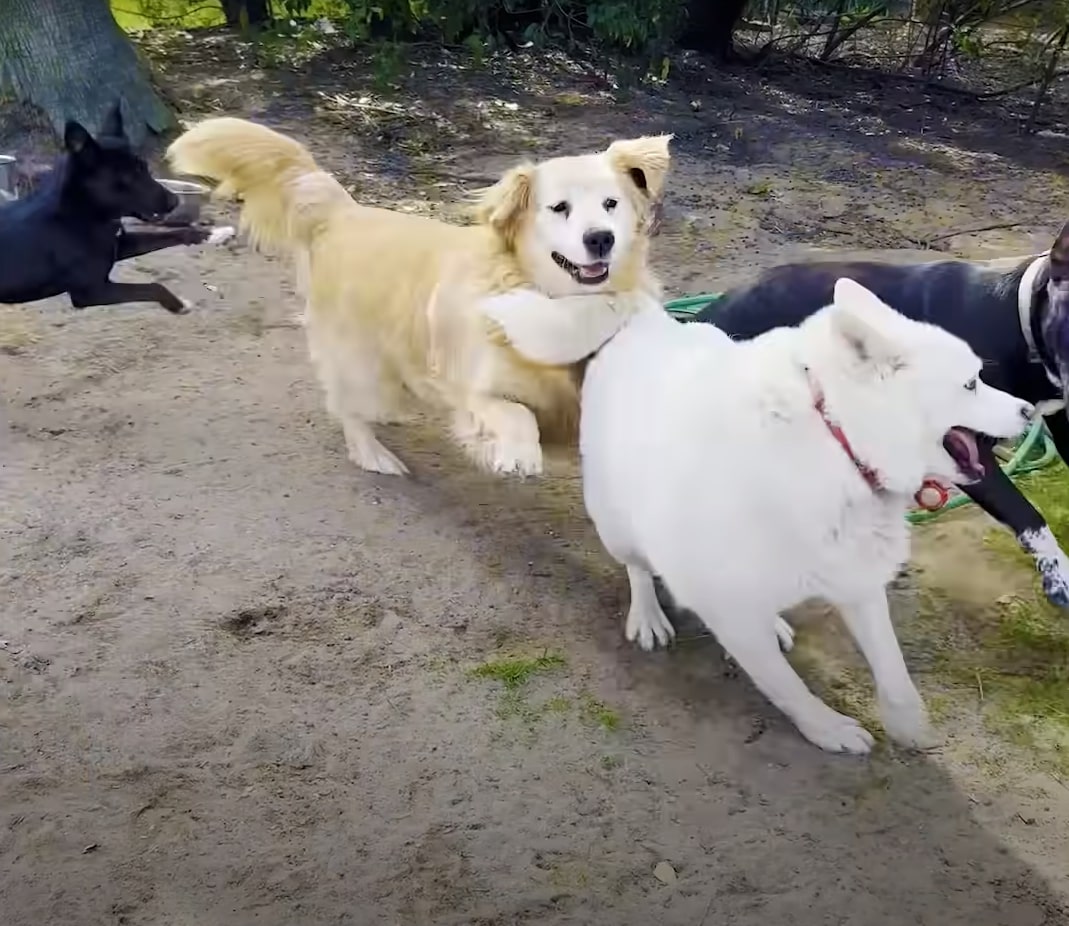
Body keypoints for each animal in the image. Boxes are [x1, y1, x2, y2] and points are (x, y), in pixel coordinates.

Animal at [0, 103, 225, 314]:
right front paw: (179, 304)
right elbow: (153, 286)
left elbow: (172, 234)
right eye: (128, 177)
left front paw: (214, 233)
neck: (83, 212)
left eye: (145, 168)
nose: (175, 201)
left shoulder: (120, 245)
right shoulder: (91, 292)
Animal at [165, 115, 667, 472]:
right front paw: (520, 454)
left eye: (611, 204)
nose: (600, 239)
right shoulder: (476, 393)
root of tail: (343, 211)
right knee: (345, 405)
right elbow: (515, 414)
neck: (552, 297)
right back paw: (373, 454)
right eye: (559, 208)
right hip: (360, 362)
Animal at [581, 280, 1030, 752]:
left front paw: (909, 725)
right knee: (637, 568)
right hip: (617, 526)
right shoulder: (729, 609)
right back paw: (647, 615)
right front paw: (828, 729)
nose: (1028, 411)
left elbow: (892, 669)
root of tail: (650, 322)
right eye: (970, 384)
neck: (838, 442)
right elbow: (786, 687)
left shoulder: (856, 573)